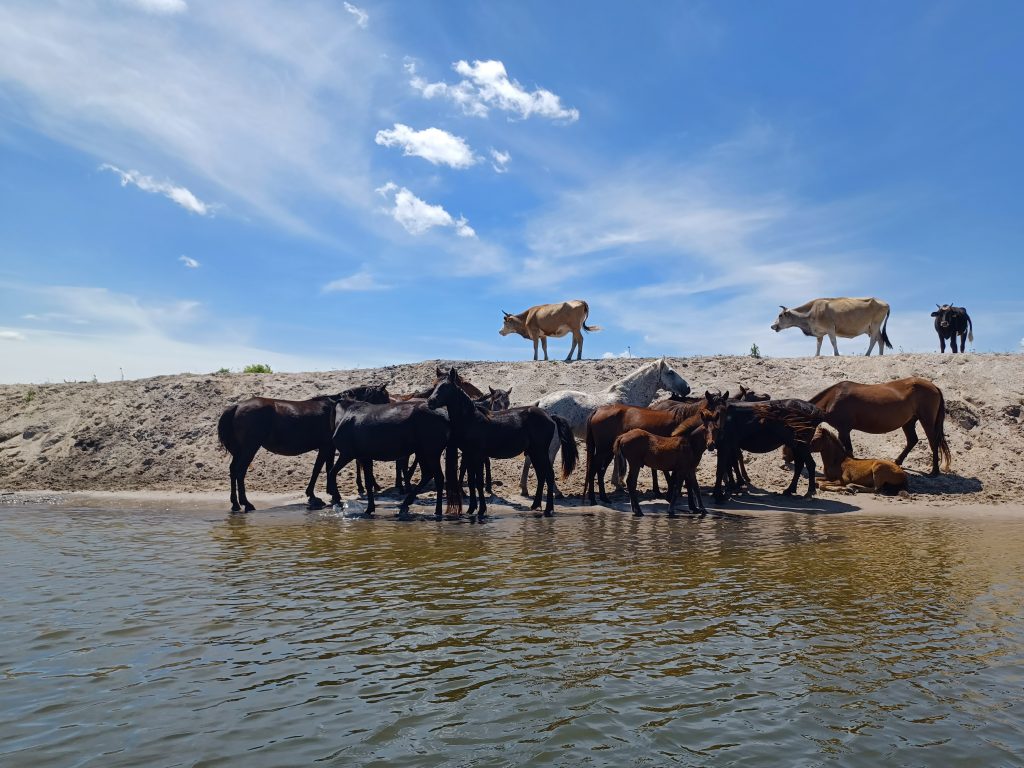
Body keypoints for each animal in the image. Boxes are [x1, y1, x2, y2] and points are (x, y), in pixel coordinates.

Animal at [217, 384, 390, 512]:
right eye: (385, 397)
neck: (338, 409)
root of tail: (237, 406)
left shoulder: (327, 448)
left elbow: (324, 468)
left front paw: (323, 494)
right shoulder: (327, 447)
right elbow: (321, 469)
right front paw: (324, 495)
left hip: (241, 450)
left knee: (233, 470)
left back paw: (235, 504)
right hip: (249, 448)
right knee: (240, 471)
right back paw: (246, 503)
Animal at [328, 397, 457, 519]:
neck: (347, 414)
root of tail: (445, 415)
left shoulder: (347, 455)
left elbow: (332, 473)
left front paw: (337, 500)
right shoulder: (365, 458)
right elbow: (368, 483)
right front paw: (370, 508)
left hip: (431, 453)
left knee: (438, 478)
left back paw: (436, 511)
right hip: (422, 453)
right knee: (427, 475)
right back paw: (406, 505)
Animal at [427, 368, 577, 518]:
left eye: (446, 387)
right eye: (434, 385)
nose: (430, 402)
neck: (471, 419)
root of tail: (550, 416)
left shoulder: (477, 455)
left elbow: (479, 482)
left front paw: (481, 510)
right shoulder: (469, 454)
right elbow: (470, 481)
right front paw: (471, 509)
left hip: (540, 452)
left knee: (549, 476)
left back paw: (548, 510)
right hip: (535, 452)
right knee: (541, 476)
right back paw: (535, 505)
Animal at [519, 357, 691, 497]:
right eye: (670, 372)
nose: (687, 388)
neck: (627, 396)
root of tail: (541, 402)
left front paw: (618, 483)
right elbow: (619, 461)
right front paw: (619, 484)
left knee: (529, 460)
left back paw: (524, 489)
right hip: (554, 442)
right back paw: (556, 492)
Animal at [801, 377, 951, 475]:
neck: (833, 398)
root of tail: (934, 386)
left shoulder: (843, 430)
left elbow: (849, 451)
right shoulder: (844, 431)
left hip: (927, 420)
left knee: (933, 442)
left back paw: (934, 471)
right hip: (908, 422)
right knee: (912, 440)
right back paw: (897, 461)